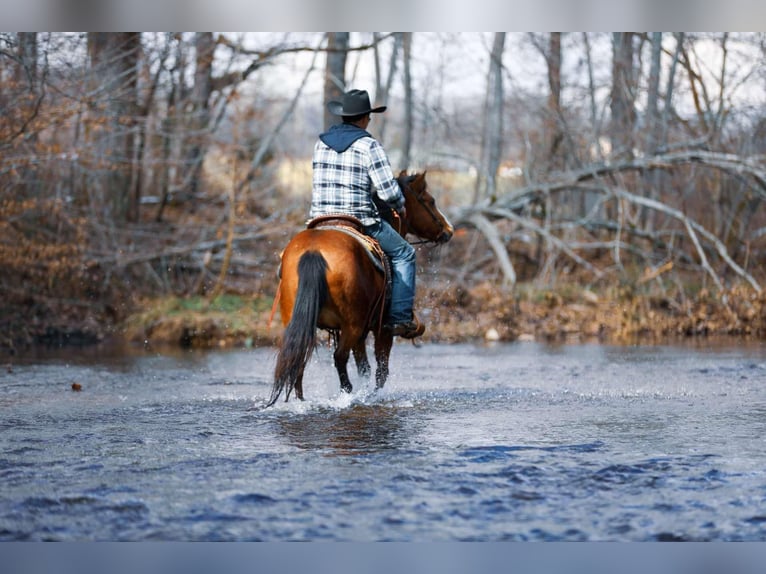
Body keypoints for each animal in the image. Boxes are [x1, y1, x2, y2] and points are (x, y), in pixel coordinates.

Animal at [268, 172, 452, 410]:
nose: (449, 230)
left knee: (297, 362)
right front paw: (371, 395)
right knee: (339, 358)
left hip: (300, 323)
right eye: (430, 201)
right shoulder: (381, 330)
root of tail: (314, 251)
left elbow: (364, 367)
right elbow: (380, 371)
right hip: (353, 326)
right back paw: (348, 394)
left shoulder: (362, 333)